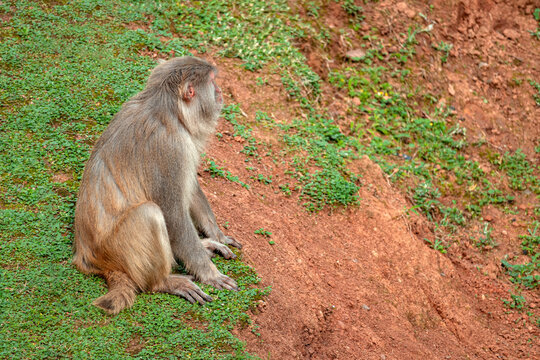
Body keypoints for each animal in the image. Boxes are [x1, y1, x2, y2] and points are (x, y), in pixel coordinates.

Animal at [73, 56, 242, 316]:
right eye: (213, 80)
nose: (220, 91)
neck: (172, 112)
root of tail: (89, 259)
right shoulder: (170, 147)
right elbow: (173, 214)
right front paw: (209, 274)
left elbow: (189, 186)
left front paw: (217, 236)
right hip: (117, 249)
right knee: (149, 213)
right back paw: (163, 282)